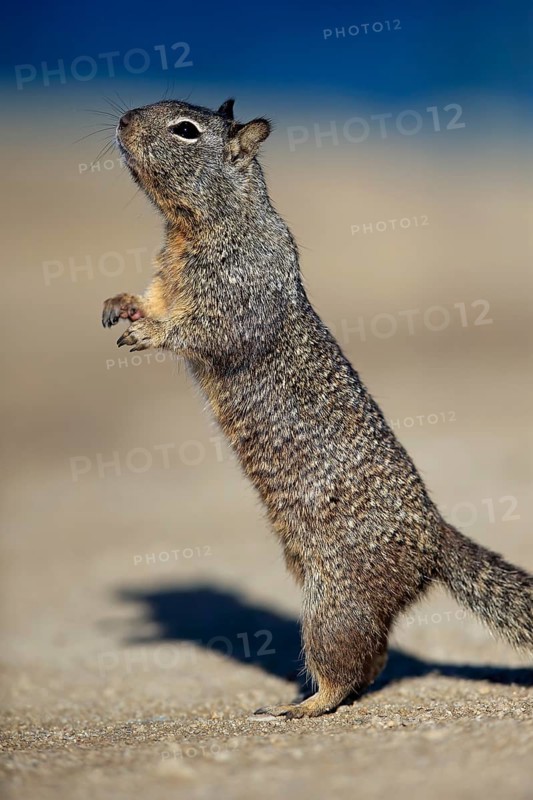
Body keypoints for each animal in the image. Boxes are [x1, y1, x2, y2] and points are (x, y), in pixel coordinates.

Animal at [102, 98, 533, 718]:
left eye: (185, 129)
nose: (122, 120)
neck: (205, 222)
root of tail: (434, 540)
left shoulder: (235, 284)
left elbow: (203, 327)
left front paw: (152, 333)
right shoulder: (169, 274)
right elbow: (151, 297)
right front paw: (121, 305)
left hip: (334, 600)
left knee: (348, 663)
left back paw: (299, 706)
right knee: (374, 658)